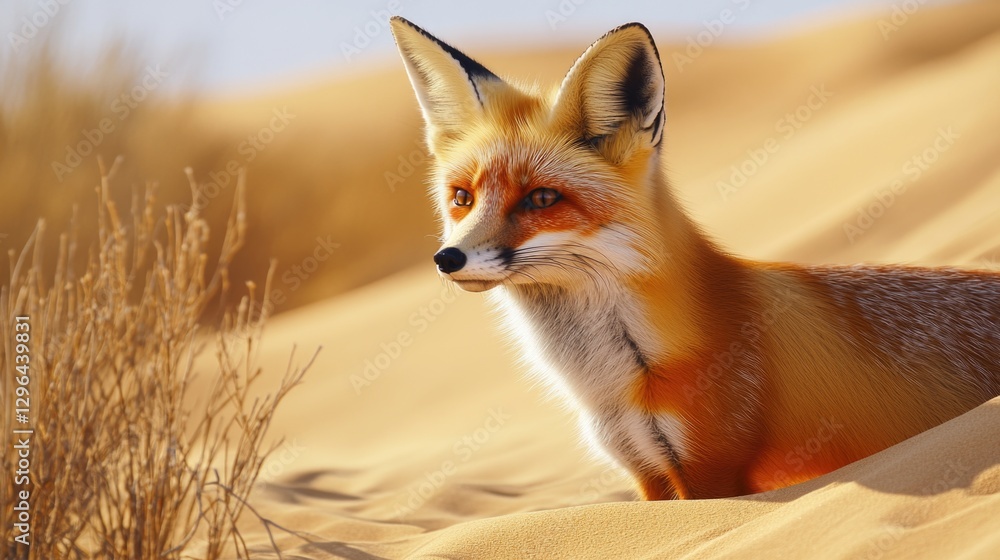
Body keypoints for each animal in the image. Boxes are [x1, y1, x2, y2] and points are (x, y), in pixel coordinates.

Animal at [389, 17, 1000, 500]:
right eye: (462, 197)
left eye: (542, 199)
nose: (448, 258)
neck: (620, 379)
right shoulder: (646, 471)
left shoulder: (710, 469)